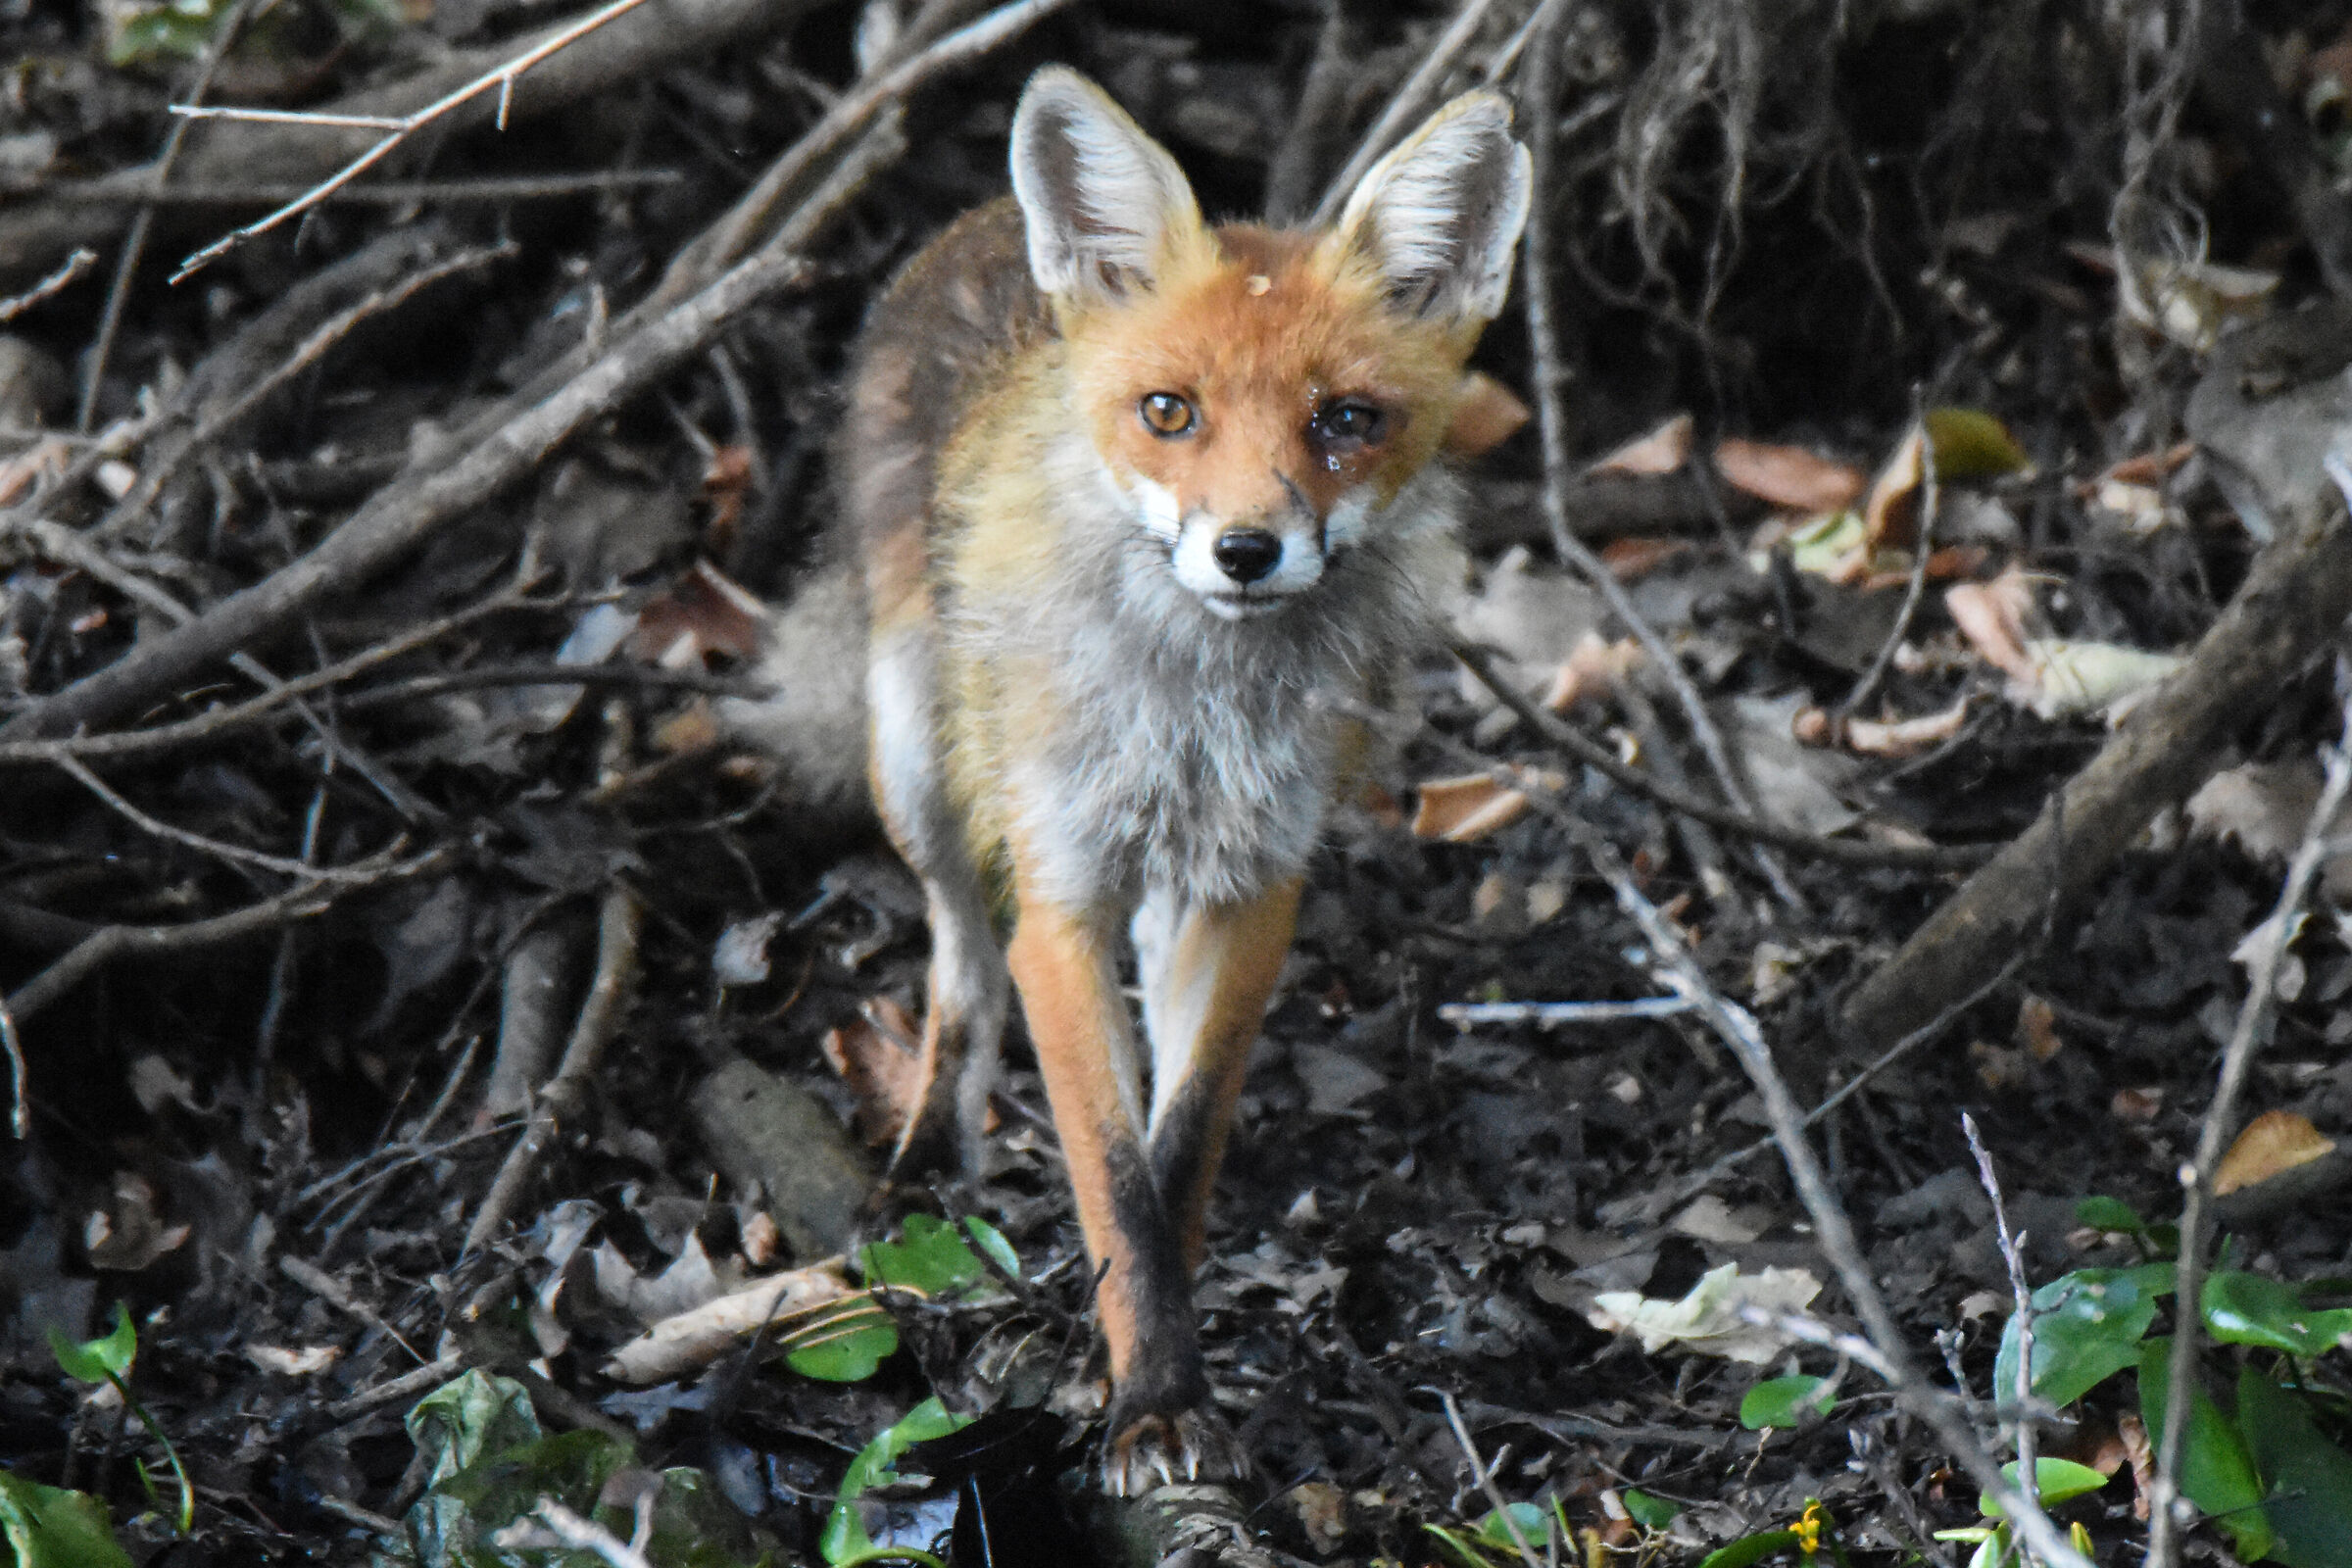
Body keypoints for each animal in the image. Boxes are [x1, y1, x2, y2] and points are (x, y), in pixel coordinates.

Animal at [825, 67, 1530, 1491]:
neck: (1194, 714)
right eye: (1170, 413)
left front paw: (1159, 1355)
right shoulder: (1061, 900)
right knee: (955, 953)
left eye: (1345, 421)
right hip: (918, 760)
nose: (1248, 550)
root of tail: (984, 224)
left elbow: (1177, 1148)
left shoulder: (1252, 887)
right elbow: (1110, 1172)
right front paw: (1148, 1394)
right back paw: (927, 1148)